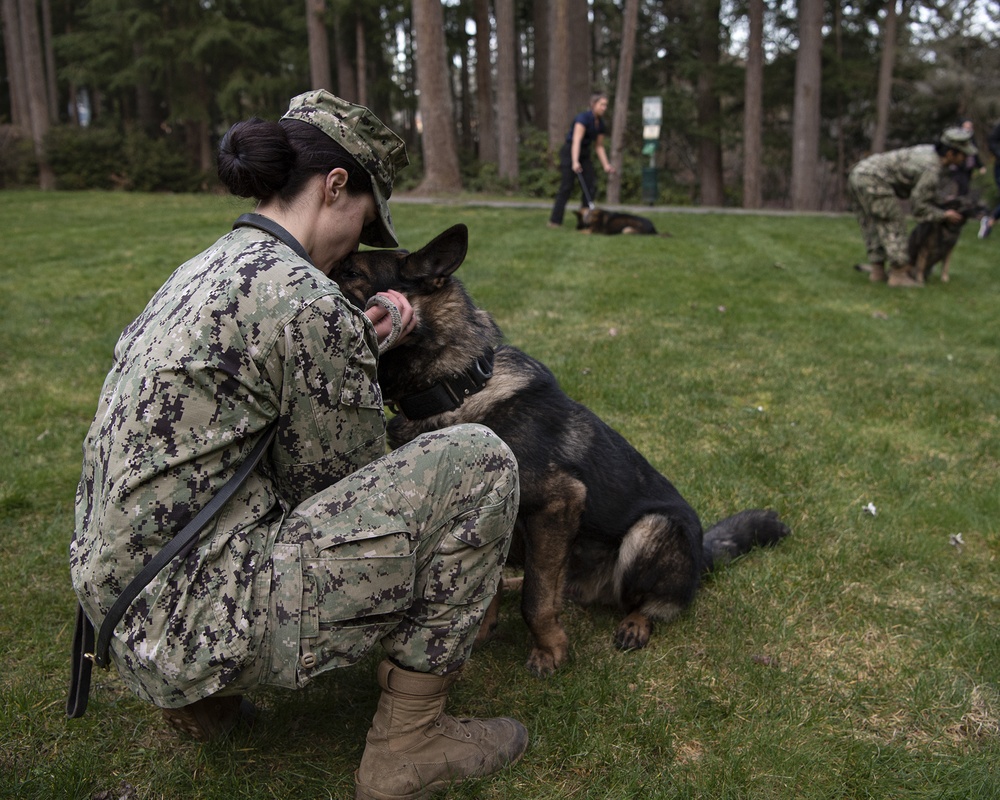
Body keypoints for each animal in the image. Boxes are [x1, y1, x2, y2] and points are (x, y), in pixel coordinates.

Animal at [332, 223, 792, 676]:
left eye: (352, 272)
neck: (457, 385)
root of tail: (701, 554)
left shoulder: (558, 503)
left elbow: (537, 600)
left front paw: (550, 650)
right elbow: (491, 585)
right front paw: (482, 632)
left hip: (650, 531)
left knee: (657, 604)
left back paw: (636, 623)